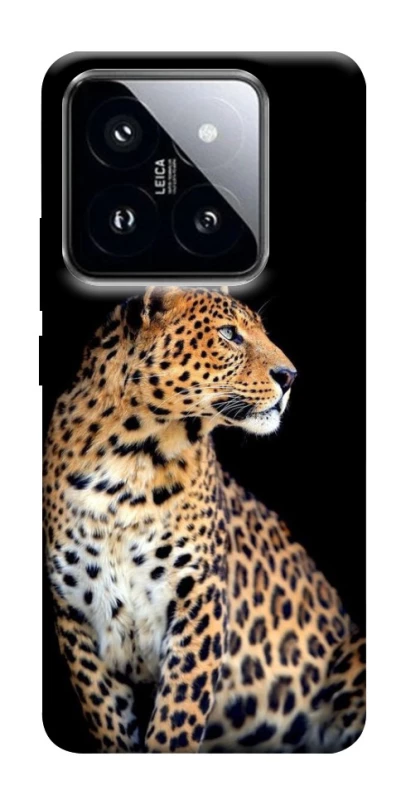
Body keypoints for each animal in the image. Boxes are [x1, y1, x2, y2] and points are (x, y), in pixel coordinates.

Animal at [44, 286, 365, 753]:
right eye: (229, 334)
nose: (290, 376)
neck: (129, 461)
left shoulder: (200, 599)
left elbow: (176, 719)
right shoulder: (75, 616)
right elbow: (109, 721)